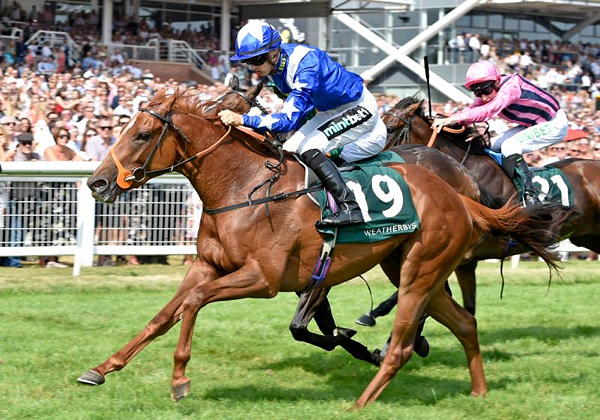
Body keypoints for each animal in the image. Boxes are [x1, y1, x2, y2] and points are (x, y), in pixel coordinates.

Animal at [78, 89, 556, 406]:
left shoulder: (264, 278)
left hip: (419, 268)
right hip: (409, 266)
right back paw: (476, 390)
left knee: (423, 327)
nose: (96, 183)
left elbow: (194, 303)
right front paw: (102, 368)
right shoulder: (208, 266)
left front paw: (179, 378)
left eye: (142, 135)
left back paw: (376, 380)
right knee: (463, 321)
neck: (243, 187)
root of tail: (459, 193)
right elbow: (163, 316)